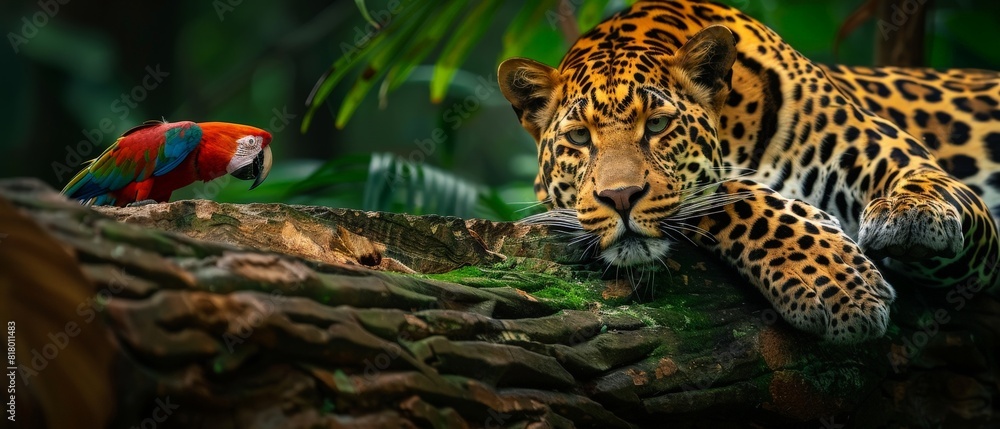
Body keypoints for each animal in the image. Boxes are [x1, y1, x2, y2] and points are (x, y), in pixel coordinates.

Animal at [500, 0, 1000, 342]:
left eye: (657, 125)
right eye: (579, 138)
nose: (620, 197)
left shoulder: (887, 152)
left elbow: (927, 183)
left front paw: (913, 214)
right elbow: (734, 196)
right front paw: (836, 284)